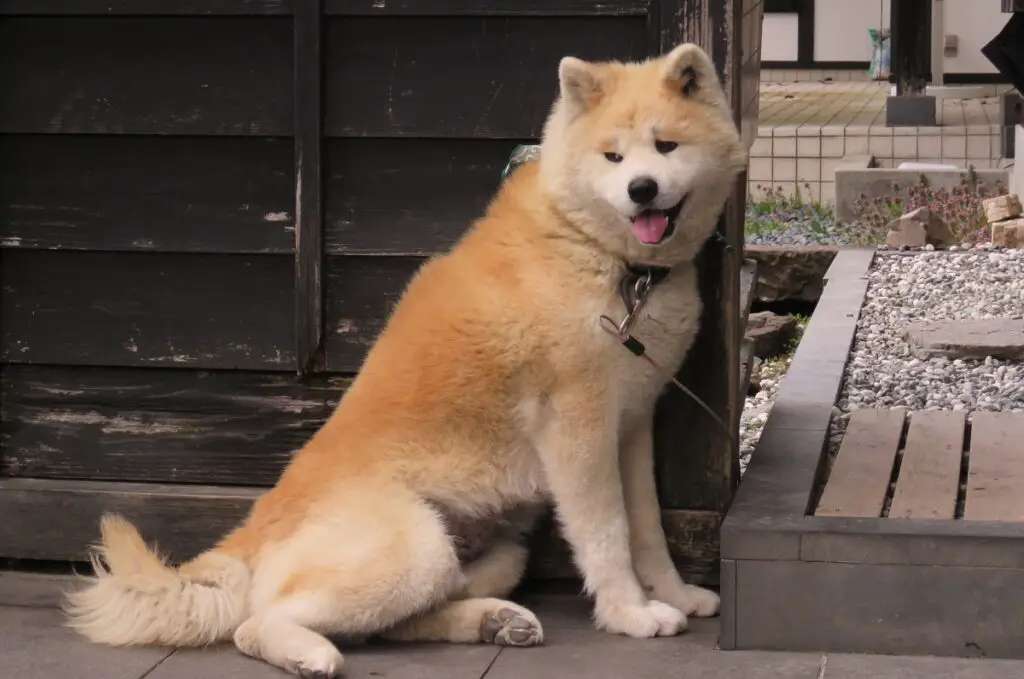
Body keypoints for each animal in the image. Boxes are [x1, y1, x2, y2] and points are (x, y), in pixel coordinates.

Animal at [68, 43, 749, 679]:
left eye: (665, 146)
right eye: (613, 158)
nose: (641, 189)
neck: (604, 256)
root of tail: (253, 530)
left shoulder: (630, 424)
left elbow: (647, 526)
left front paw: (676, 595)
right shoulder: (578, 430)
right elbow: (608, 534)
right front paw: (631, 613)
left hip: (488, 556)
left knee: (395, 625)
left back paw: (495, 623)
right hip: (413, 550)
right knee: (259, 622)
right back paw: (310, 654)